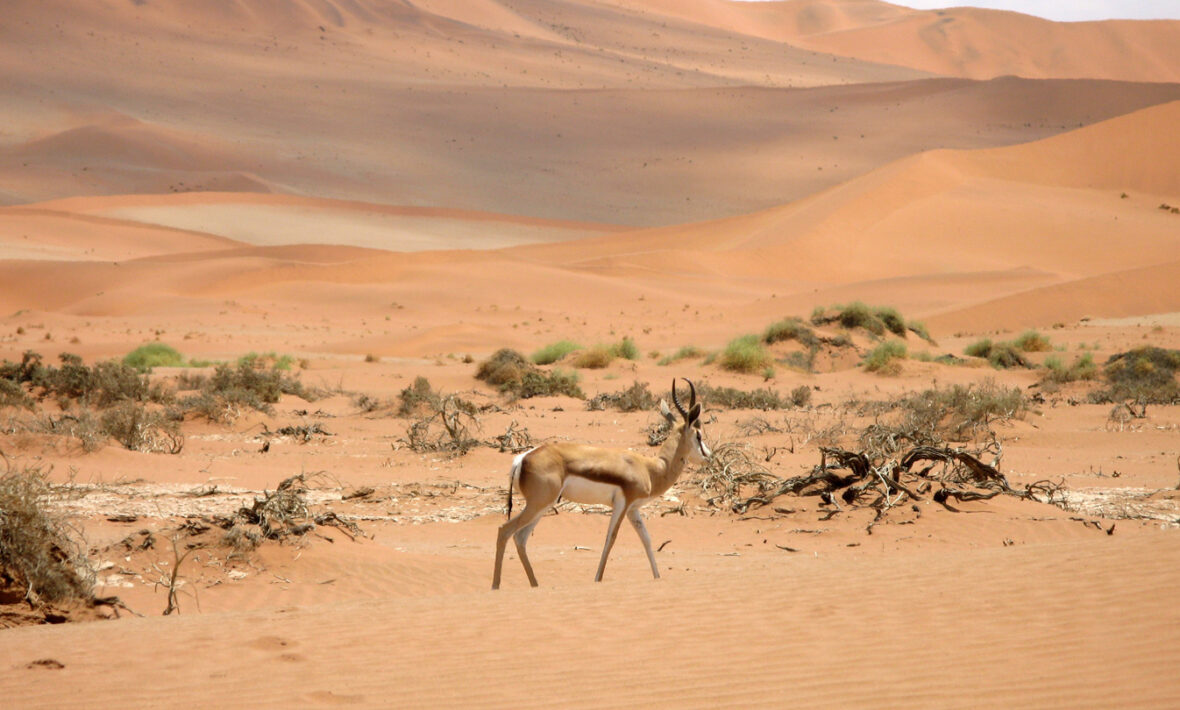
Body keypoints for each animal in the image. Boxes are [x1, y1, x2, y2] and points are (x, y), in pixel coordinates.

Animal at [490, 375, 707, 584]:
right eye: (698, 435)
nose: (708, 455)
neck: (650, 469)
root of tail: (522, 458)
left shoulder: (633, 509)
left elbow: (646, 539)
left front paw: (657, 577)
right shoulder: (622, 504)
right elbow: (611, 538)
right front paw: (597, 579)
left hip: (542, 506)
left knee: (520, 537)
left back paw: (534, 584)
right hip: (538, 504)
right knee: (504, 530)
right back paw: (496, 586)